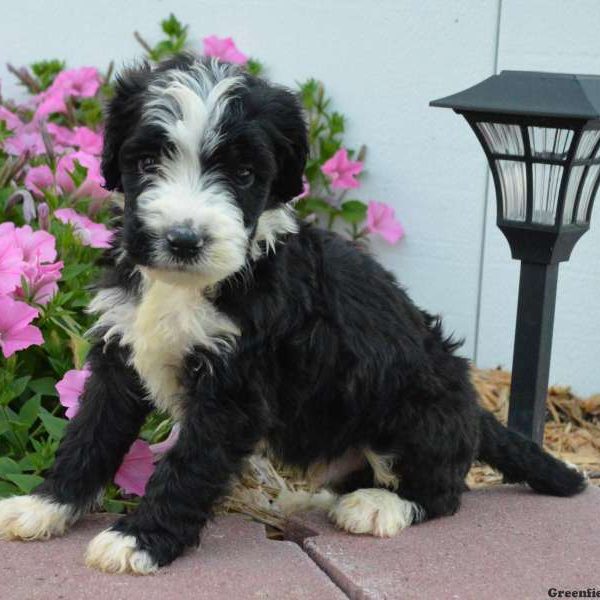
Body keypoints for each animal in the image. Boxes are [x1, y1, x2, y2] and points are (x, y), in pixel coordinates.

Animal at [0, 55, 584, 572]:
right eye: (146, 162)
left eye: (242, 172)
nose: (184, 240)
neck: (188, 286)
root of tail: (473, 406)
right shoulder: (118, 354)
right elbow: (90, 435)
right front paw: (43, 506)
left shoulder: (233, 389)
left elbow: (186, 466)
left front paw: (140, 540)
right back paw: (322, 499)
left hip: (413, 408)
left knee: (443, 491)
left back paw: (378, 505)